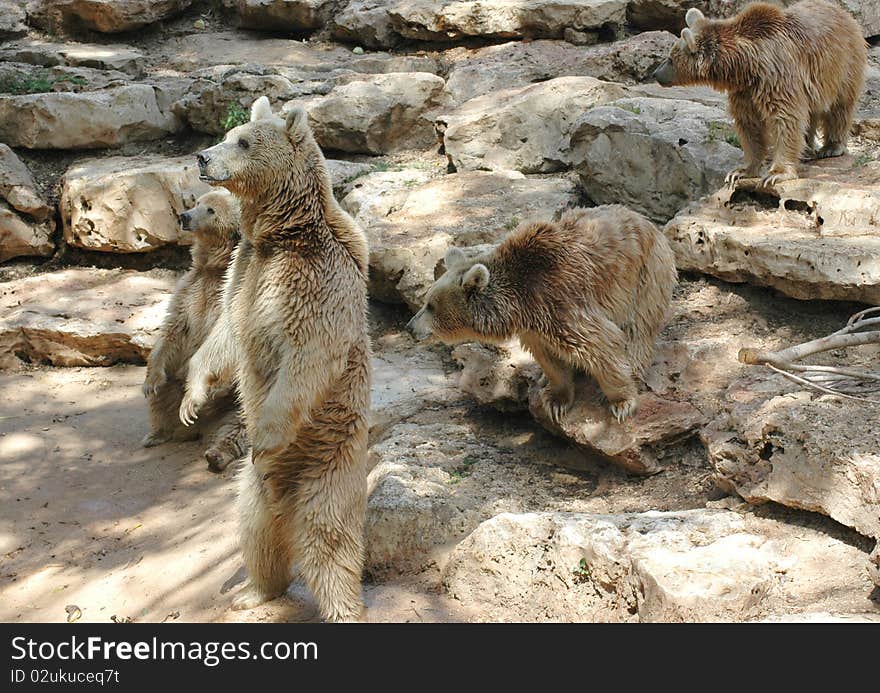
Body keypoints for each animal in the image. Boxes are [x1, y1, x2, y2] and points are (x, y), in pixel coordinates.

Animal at [179, 94, 372, 620]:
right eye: (230, 134)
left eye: (243, 141)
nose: (202, 157)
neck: (283, 233)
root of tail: (287, 497)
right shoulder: (246, 270)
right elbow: (224, 334)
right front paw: (191, 399)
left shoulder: (313, 280)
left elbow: (307, 356)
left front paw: (263, 436)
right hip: (253, 490)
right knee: (256, 530)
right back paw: (252, 590)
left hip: (331, 463)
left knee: (330, 541)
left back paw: (343, 607)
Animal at [406, 204, 672, 422]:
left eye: (430, 305)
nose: (410, 327)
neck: (520, 304)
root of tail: (644, 220)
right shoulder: (535, 326)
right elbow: (549, 358)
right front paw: (556, 400)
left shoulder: (561, 302)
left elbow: (600, 345)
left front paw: (622, 402)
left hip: (645, 275)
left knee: (640, 328)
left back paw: (635, 367)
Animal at [652, 0, 868, 187]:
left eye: (670, 59)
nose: (655, 73)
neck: (744, 65)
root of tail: (842, 12)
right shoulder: (745, 91)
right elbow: (749, 125)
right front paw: (741, 171)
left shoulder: (776, 76)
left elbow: (786, 118)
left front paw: (776, 174)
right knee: (812, 112)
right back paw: (806, 149)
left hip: (841, 65)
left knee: (839, 107)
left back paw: (831, 147)